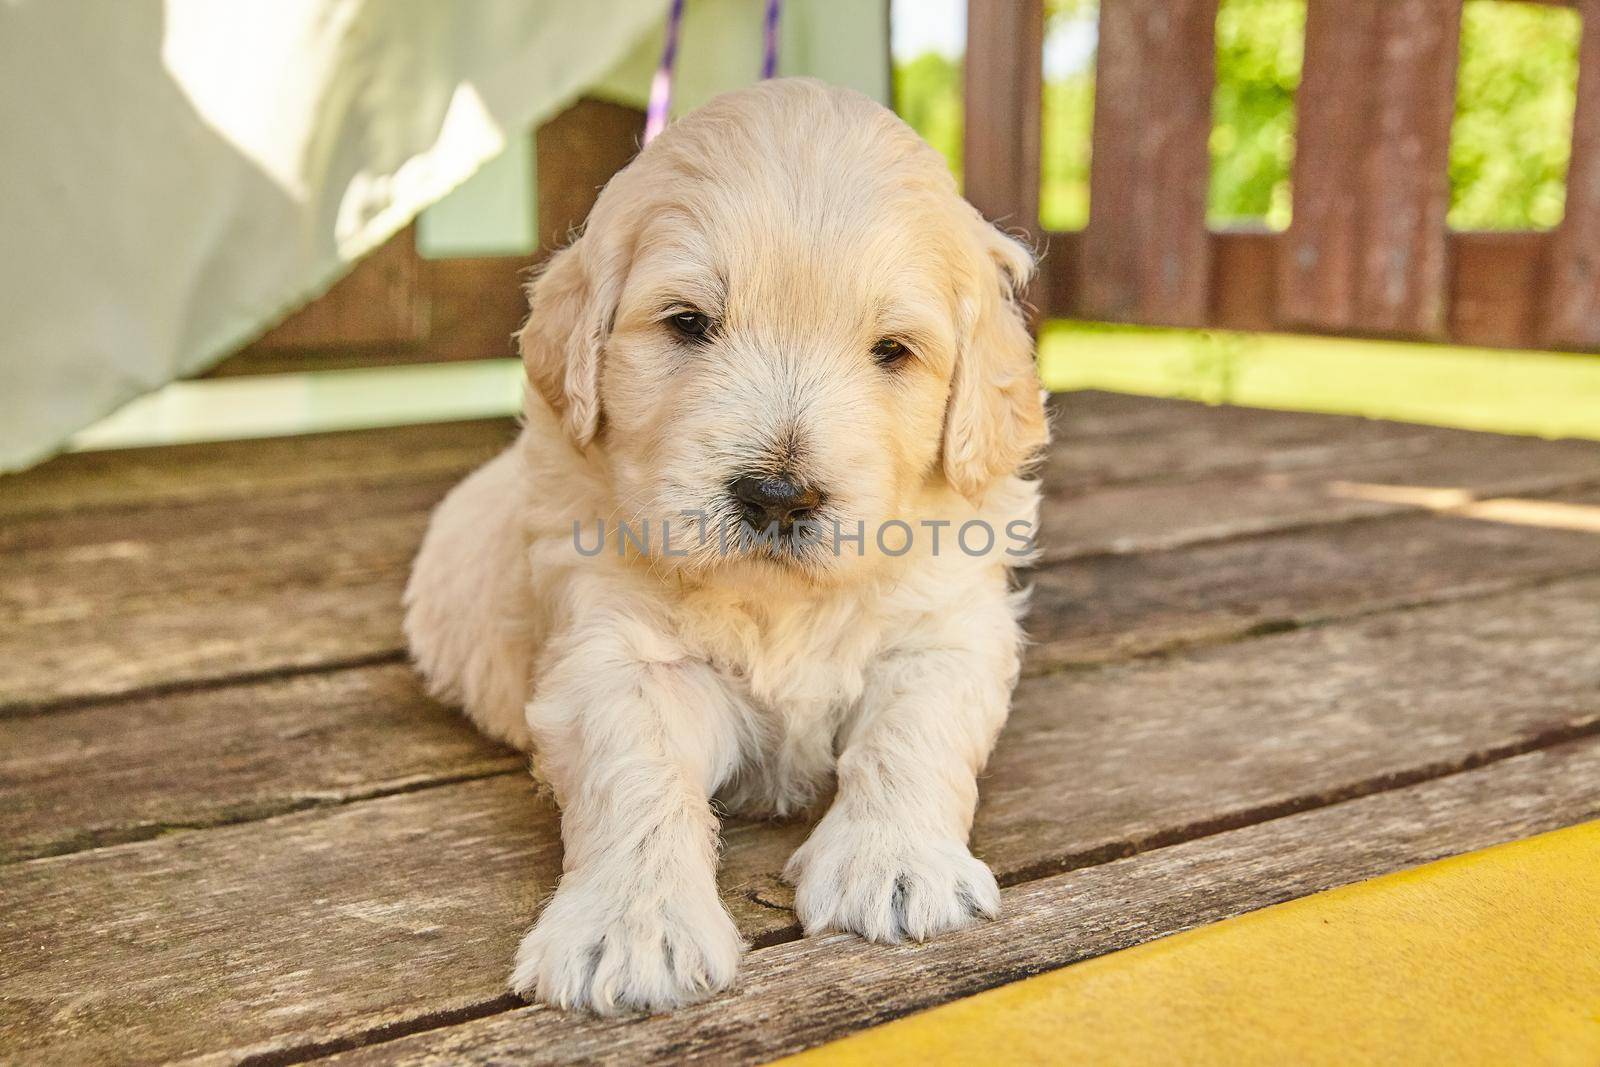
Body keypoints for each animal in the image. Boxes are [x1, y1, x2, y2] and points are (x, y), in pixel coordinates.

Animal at [406, 79, 1043, 1017]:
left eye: (893, 350)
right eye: (689, 323)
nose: (779, 495)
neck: (778, 603)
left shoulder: (947, 624)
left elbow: (913, 731)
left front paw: (894, 863)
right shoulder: (617, 650)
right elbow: (635, 769)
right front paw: (630, 928)